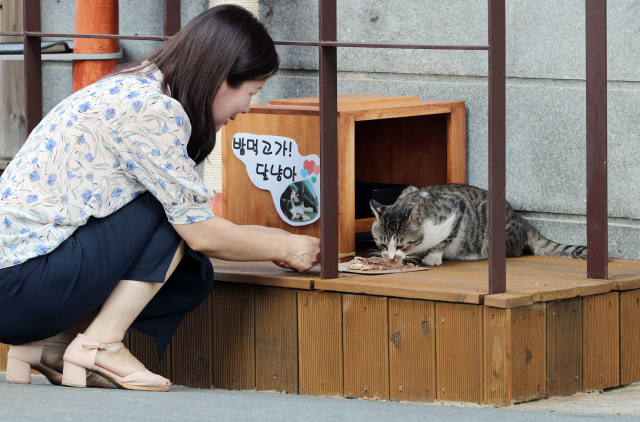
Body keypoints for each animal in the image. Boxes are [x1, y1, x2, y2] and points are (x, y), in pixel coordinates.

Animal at [368, 183, 588, 266]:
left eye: (402, 244)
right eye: (381, 244)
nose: (391, 258)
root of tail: (520, 219)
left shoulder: (458, 207)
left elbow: (446, 239)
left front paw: (433, 256)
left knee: (513, 250)